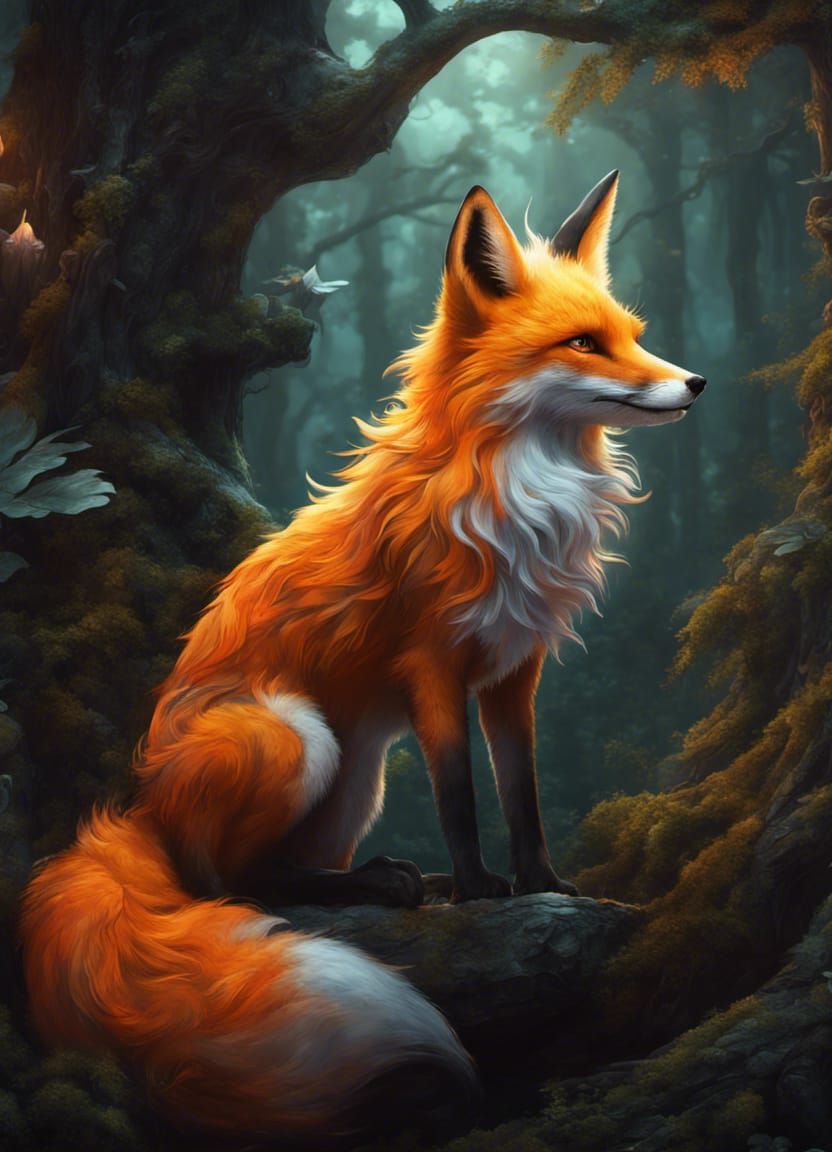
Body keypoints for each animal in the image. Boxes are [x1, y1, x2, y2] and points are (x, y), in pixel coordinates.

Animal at [19, 171, 705, 1145]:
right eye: (583, 344)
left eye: (632, 334)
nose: (695, 382)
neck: (519, 494)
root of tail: (137, 805)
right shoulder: (431, 668)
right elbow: (460, 797)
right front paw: (479, 891)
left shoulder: (514, 671)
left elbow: (522, 792)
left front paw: (543, 885)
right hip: (296, 735)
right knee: (227, 883)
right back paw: (386, 887)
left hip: (358, 776)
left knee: (273, 874)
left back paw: (385, 879)